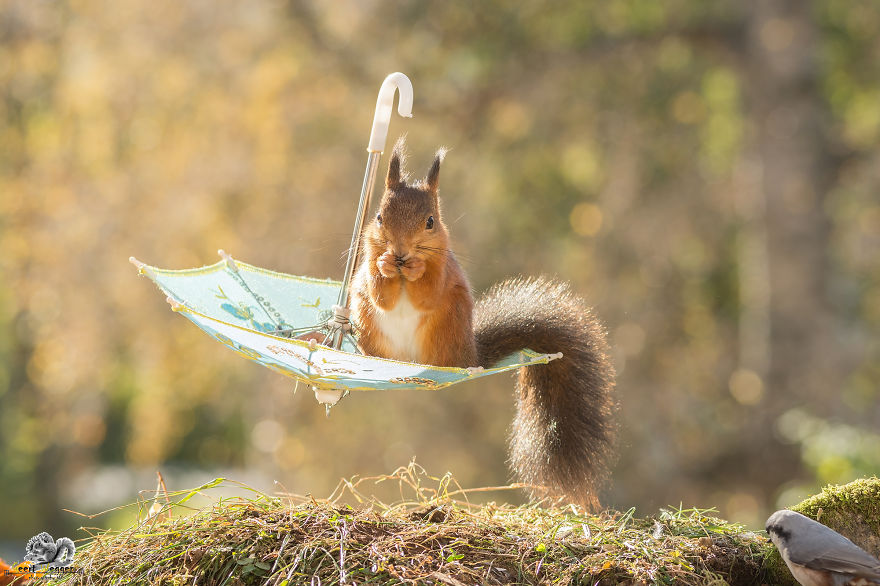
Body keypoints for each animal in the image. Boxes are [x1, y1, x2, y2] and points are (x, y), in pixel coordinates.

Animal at [349, 137, 617, 508]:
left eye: (430, 221)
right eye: (378, 217)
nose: (401, 252)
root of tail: (471, 355)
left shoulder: (443, 271)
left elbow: (427, 292)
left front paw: (416, 270)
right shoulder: (369, 259)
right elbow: (380, 293)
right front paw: (386, 265)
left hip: (447, 330)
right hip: (370, 327)